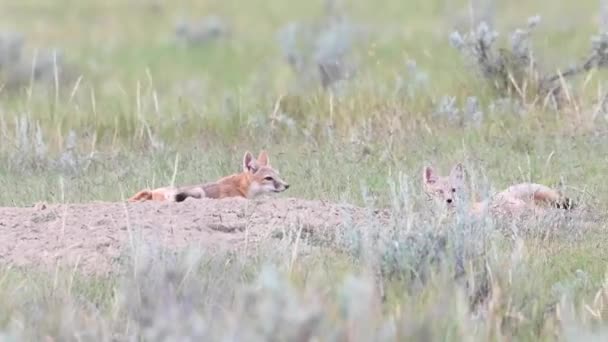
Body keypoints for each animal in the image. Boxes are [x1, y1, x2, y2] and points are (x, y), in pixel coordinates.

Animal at [129, 150, 290, 203]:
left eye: (278, 175)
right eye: (269, 178)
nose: (287, 185)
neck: (241, 187)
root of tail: (153, 192)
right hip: (197, 192)